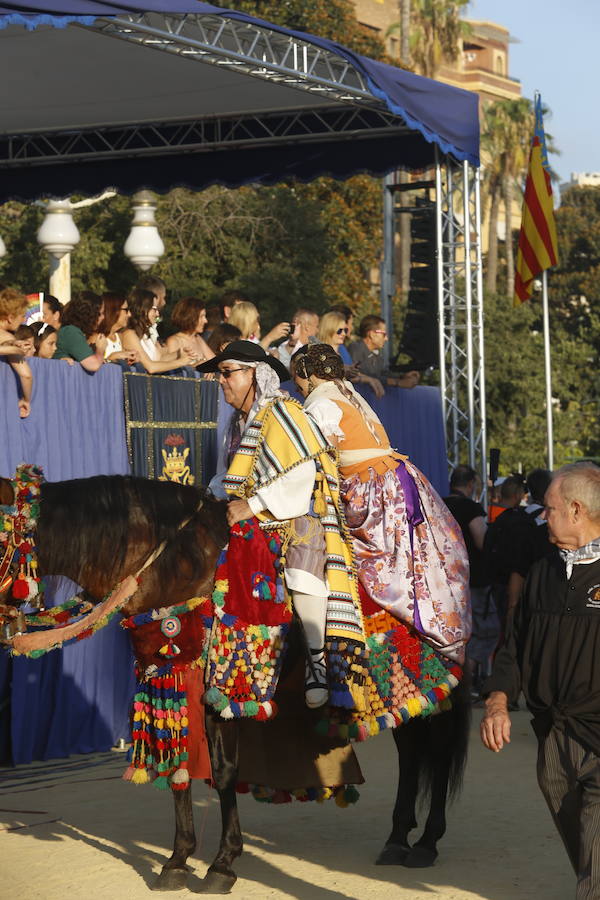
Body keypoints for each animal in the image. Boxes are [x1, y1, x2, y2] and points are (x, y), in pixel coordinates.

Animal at [0, 474, 468, 888]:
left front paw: (222, 864)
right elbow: (180, 767)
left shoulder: (221, 691)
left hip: (427, 674)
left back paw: (425, 842)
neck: (178, 562)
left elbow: (223, 771)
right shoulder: (169, 674)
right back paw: (397, 839)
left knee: (437, 748)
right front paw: (178, 859)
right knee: (412, 751)